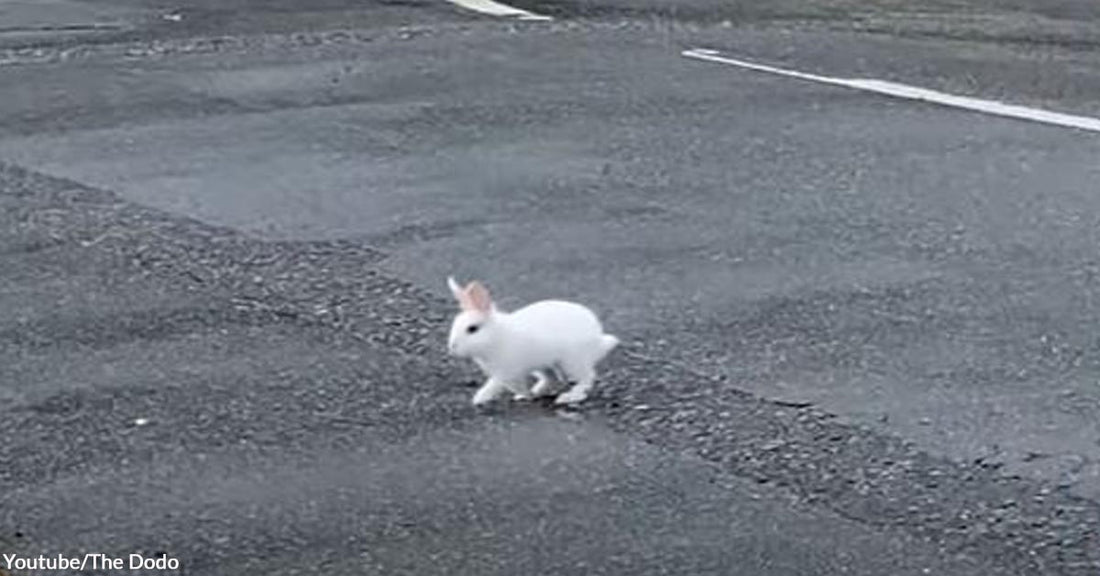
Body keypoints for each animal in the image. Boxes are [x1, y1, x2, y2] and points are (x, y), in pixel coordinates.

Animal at [446, 278, 620, 404]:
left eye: (472, 329)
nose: (452, 347)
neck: (496, 336)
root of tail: (598, 339)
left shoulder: (506, 372)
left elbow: (496, 385)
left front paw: (479, 398)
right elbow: (516, 387)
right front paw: (526, 396)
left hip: (572, 362)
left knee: (587, 378)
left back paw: (569, 397)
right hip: (545, 365)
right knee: (552, 378)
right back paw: (535, 392)